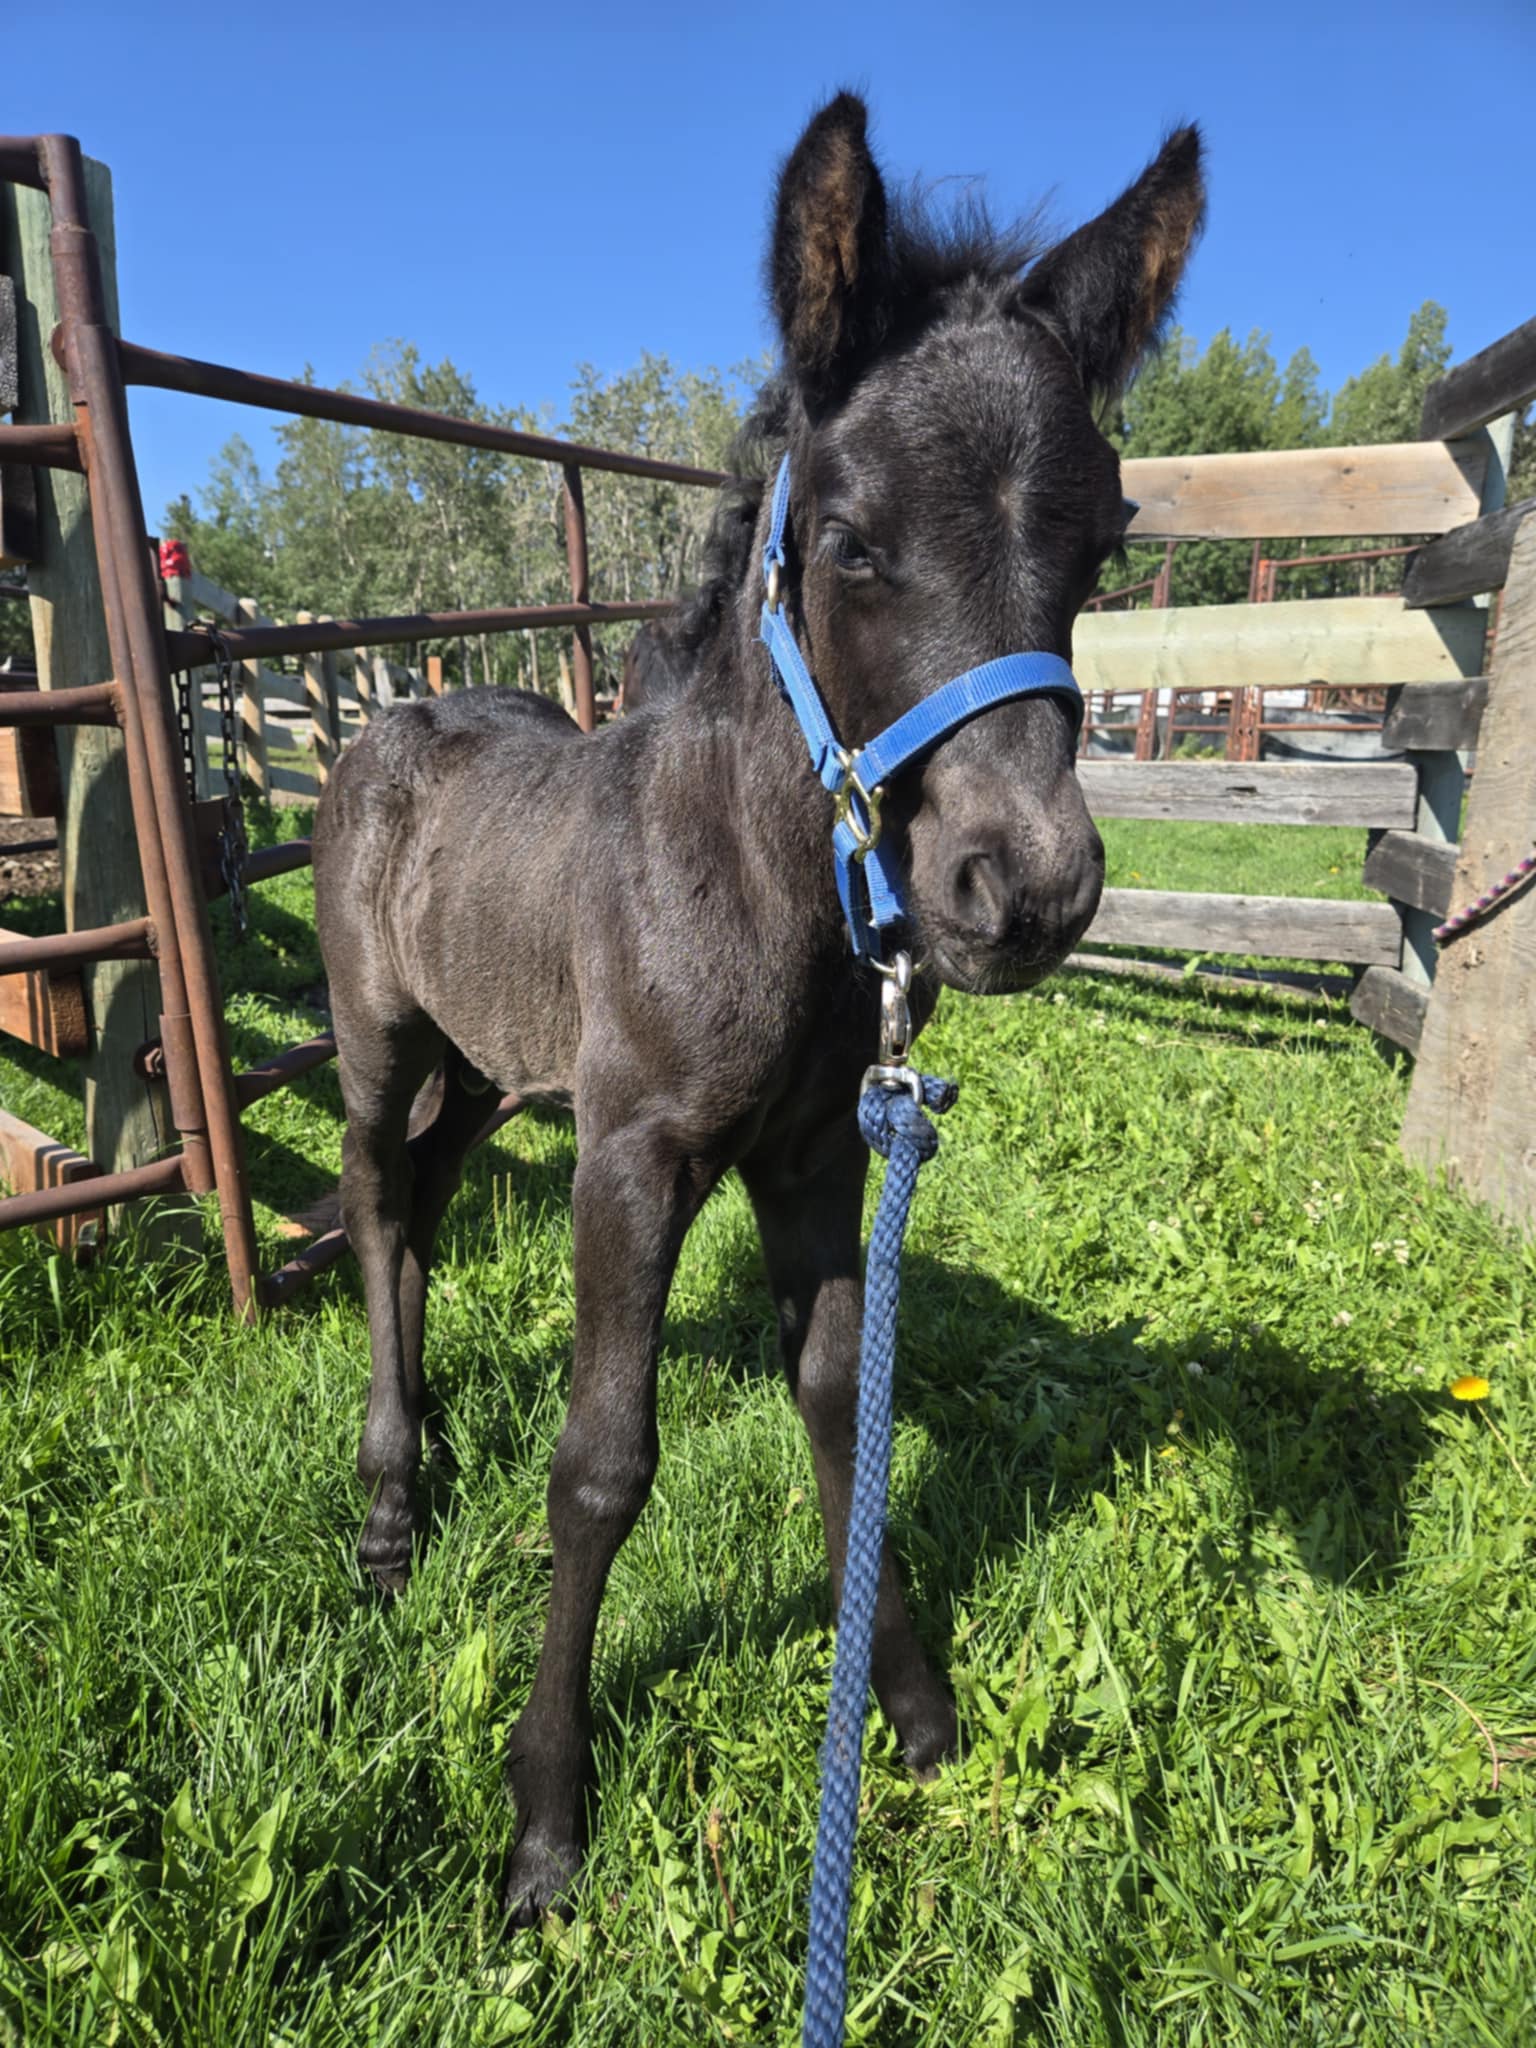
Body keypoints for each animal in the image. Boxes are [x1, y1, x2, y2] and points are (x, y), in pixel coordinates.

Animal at [312, 91, 1204, 1924]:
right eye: (848, 541)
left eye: (1096, 549)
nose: (1027, 891)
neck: (749, 882)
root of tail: (393, 715)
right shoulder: (631, 1154)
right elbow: (600, 1465)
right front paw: (544, 1824)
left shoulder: (813, 1154)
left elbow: (844, 1408)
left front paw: (910, 1714)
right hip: (379, 1042)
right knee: (372, 1198)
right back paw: (384, 1503)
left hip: (494, 1067)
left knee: (424, 1196)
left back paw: (418, 1452)